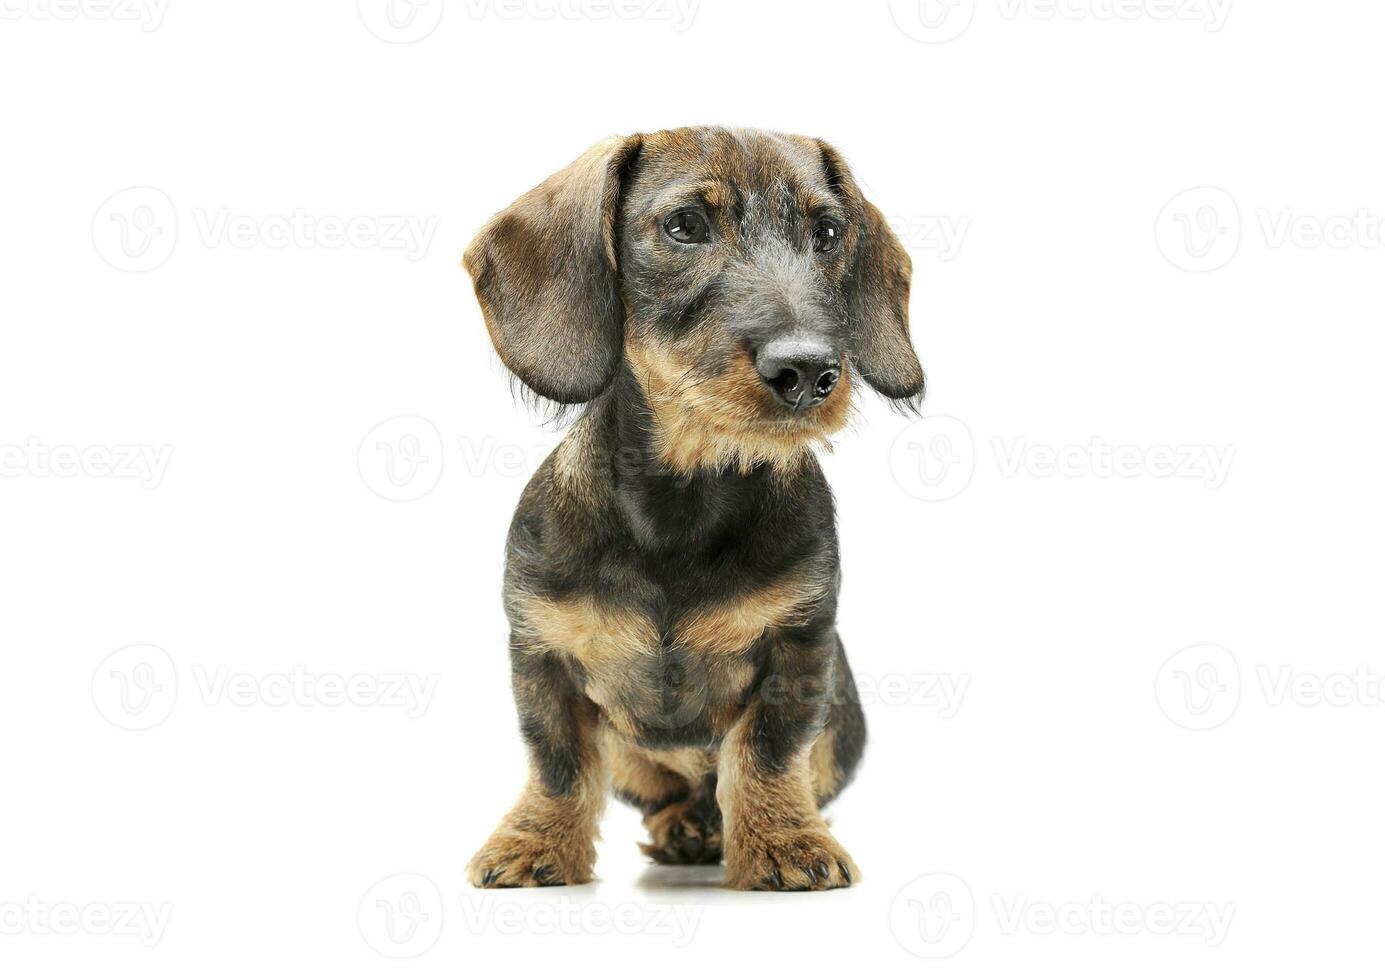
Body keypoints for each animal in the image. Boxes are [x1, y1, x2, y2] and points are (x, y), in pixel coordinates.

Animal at [459, 126, 925, 891]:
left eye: (828, 233)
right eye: (685, 226)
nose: (809, 372)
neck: (680, 505)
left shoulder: (799, 650)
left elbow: (766, 754)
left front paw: (783, 841)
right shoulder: (541, 654)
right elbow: (558, 765)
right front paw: (536, 843)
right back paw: (684, 826)